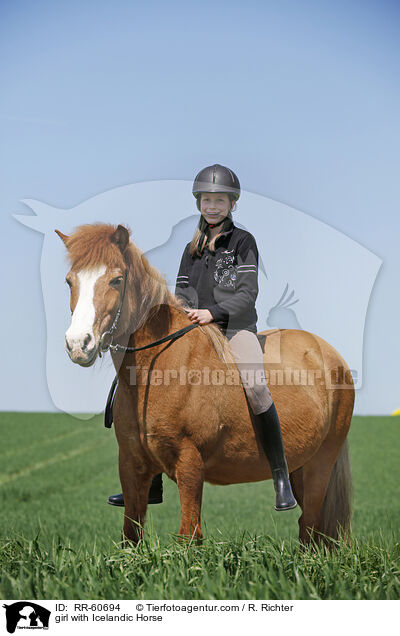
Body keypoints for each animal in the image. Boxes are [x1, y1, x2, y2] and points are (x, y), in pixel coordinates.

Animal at [55, 224, 354, 548]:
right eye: (69, 281)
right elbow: (131, 536)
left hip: (320, 463)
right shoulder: (131, 465)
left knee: (311, 526)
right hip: (301, 465)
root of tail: (330, 355)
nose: (78, 344)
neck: (157, 368)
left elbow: (189, 535)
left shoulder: (190, 465)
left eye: (116, 279)